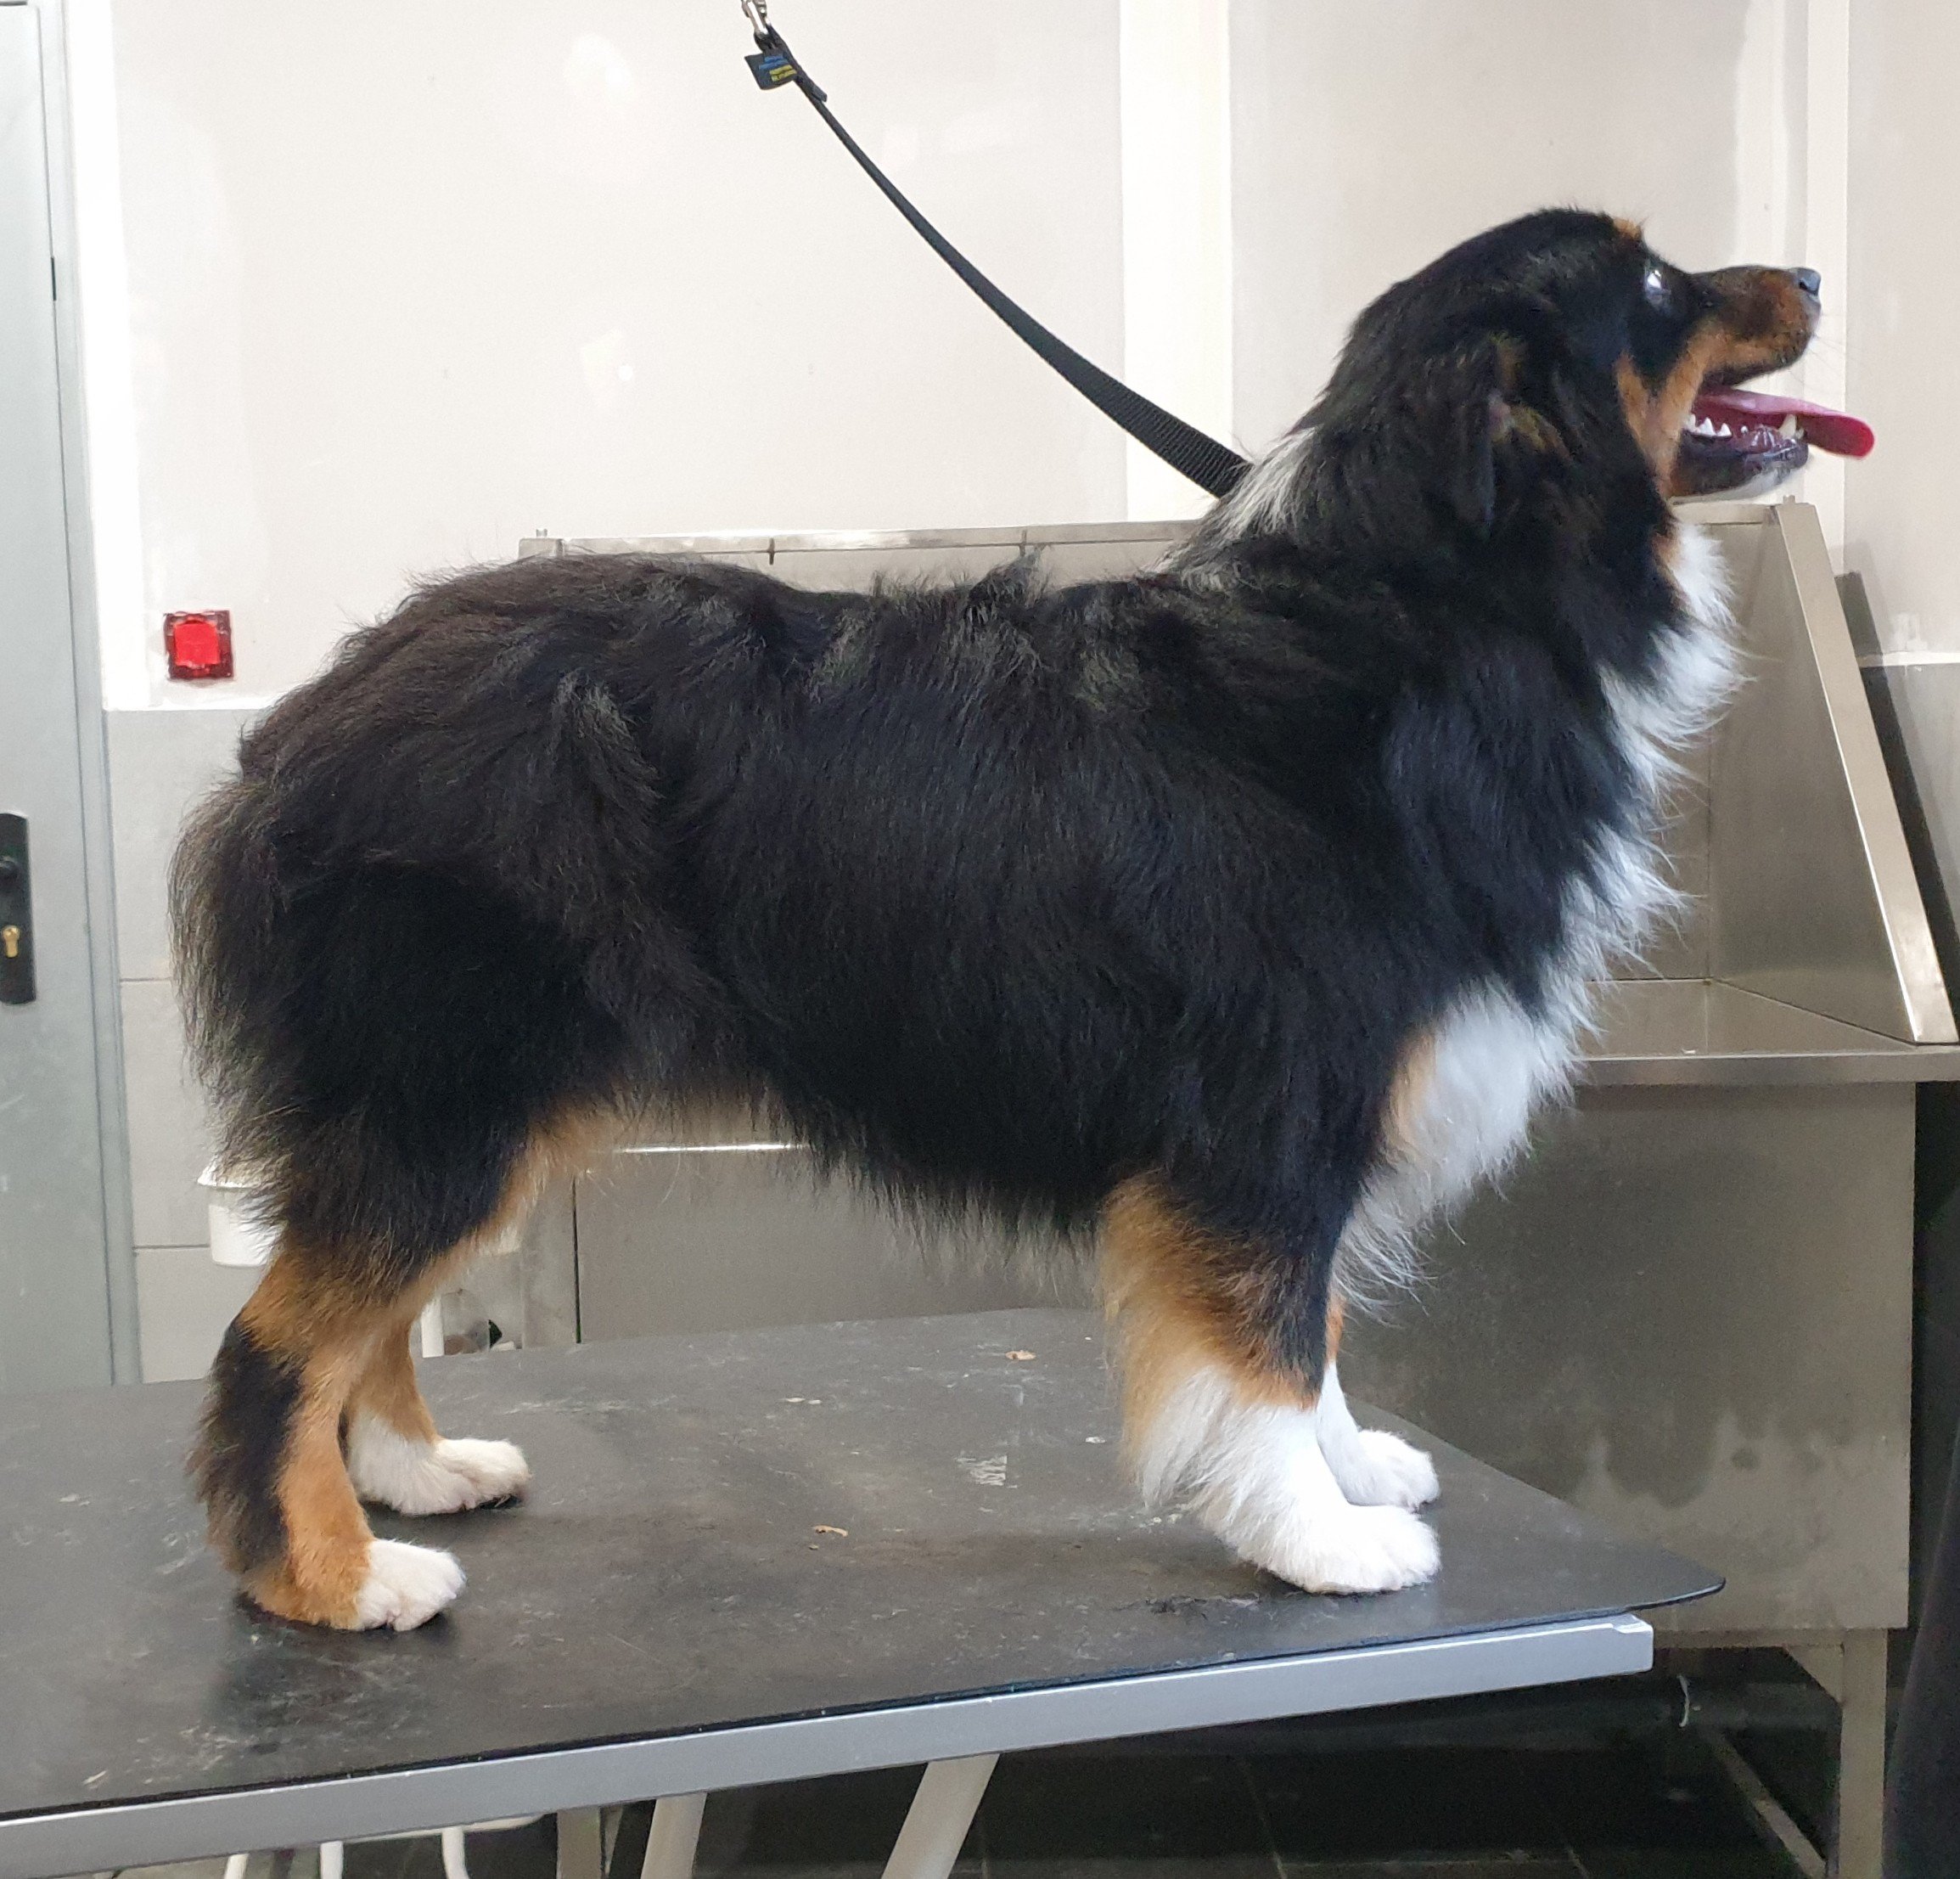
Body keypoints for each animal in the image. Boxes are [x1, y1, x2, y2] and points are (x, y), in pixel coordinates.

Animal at [173, 208, 1851, 1630]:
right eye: (1652, 283)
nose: (1814, 274)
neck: (1427, 615)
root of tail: (298, 730)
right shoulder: (1264, 1108)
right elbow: (1264, 1337)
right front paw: (1318, 1536)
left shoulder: (1288, 1129)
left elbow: (1306, 1327)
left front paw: (1349, 1465)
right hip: (452, 1081)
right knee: (278, 1336)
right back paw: (330, 1577)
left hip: (461, 1101)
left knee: (368, 1313)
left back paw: (416, 1474)